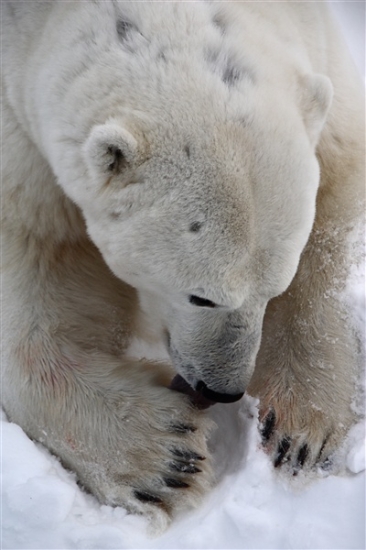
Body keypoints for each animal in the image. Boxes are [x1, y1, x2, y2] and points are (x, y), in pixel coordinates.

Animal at [1, 1, 364, 532]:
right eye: (202, 295)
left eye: (274, 288)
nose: (223, 390)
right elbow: (40, 257)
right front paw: (166, 460)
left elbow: (336, 190)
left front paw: (302, 428)